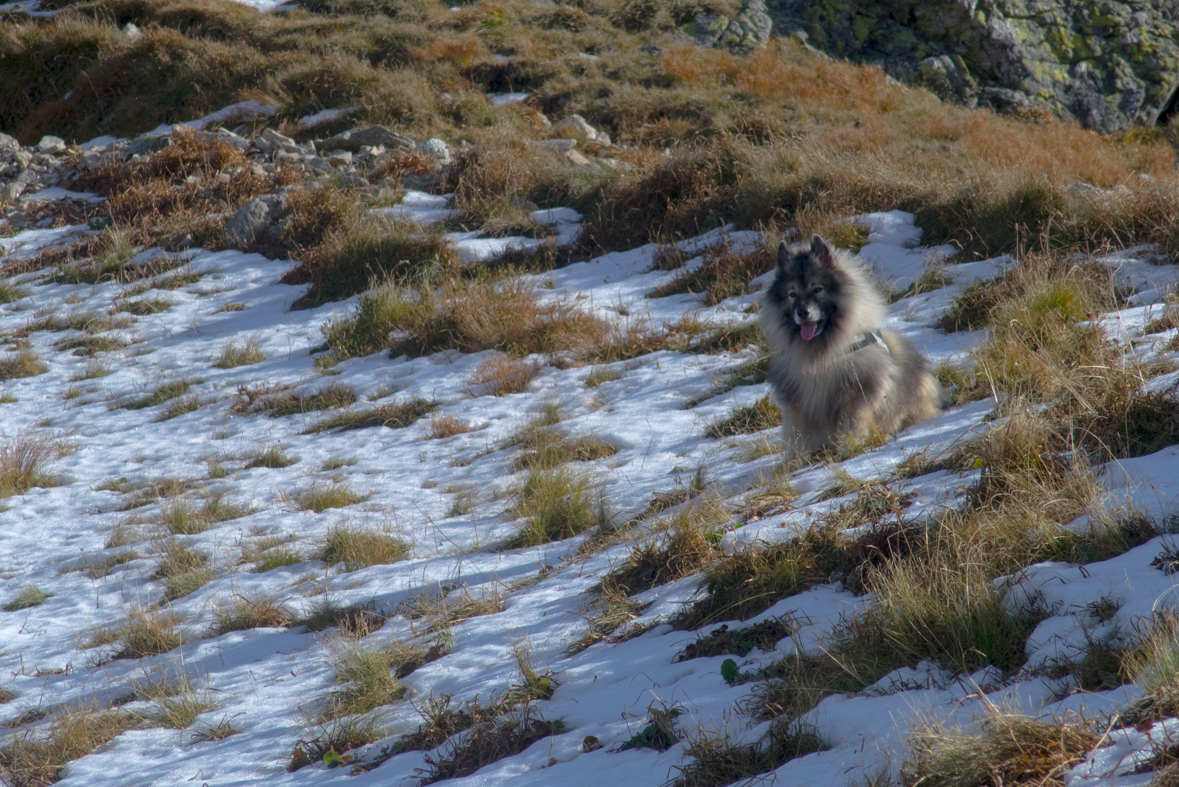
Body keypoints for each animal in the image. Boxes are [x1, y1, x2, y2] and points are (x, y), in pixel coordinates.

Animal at [759, 233, 943, 461]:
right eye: (792, 294)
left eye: (817, 289)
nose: (802, 312)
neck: (822, 355)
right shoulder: (797, 403)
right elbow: (797, 434)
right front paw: (795, 460)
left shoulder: (857, 391)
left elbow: (853, 422)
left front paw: (850, 445)